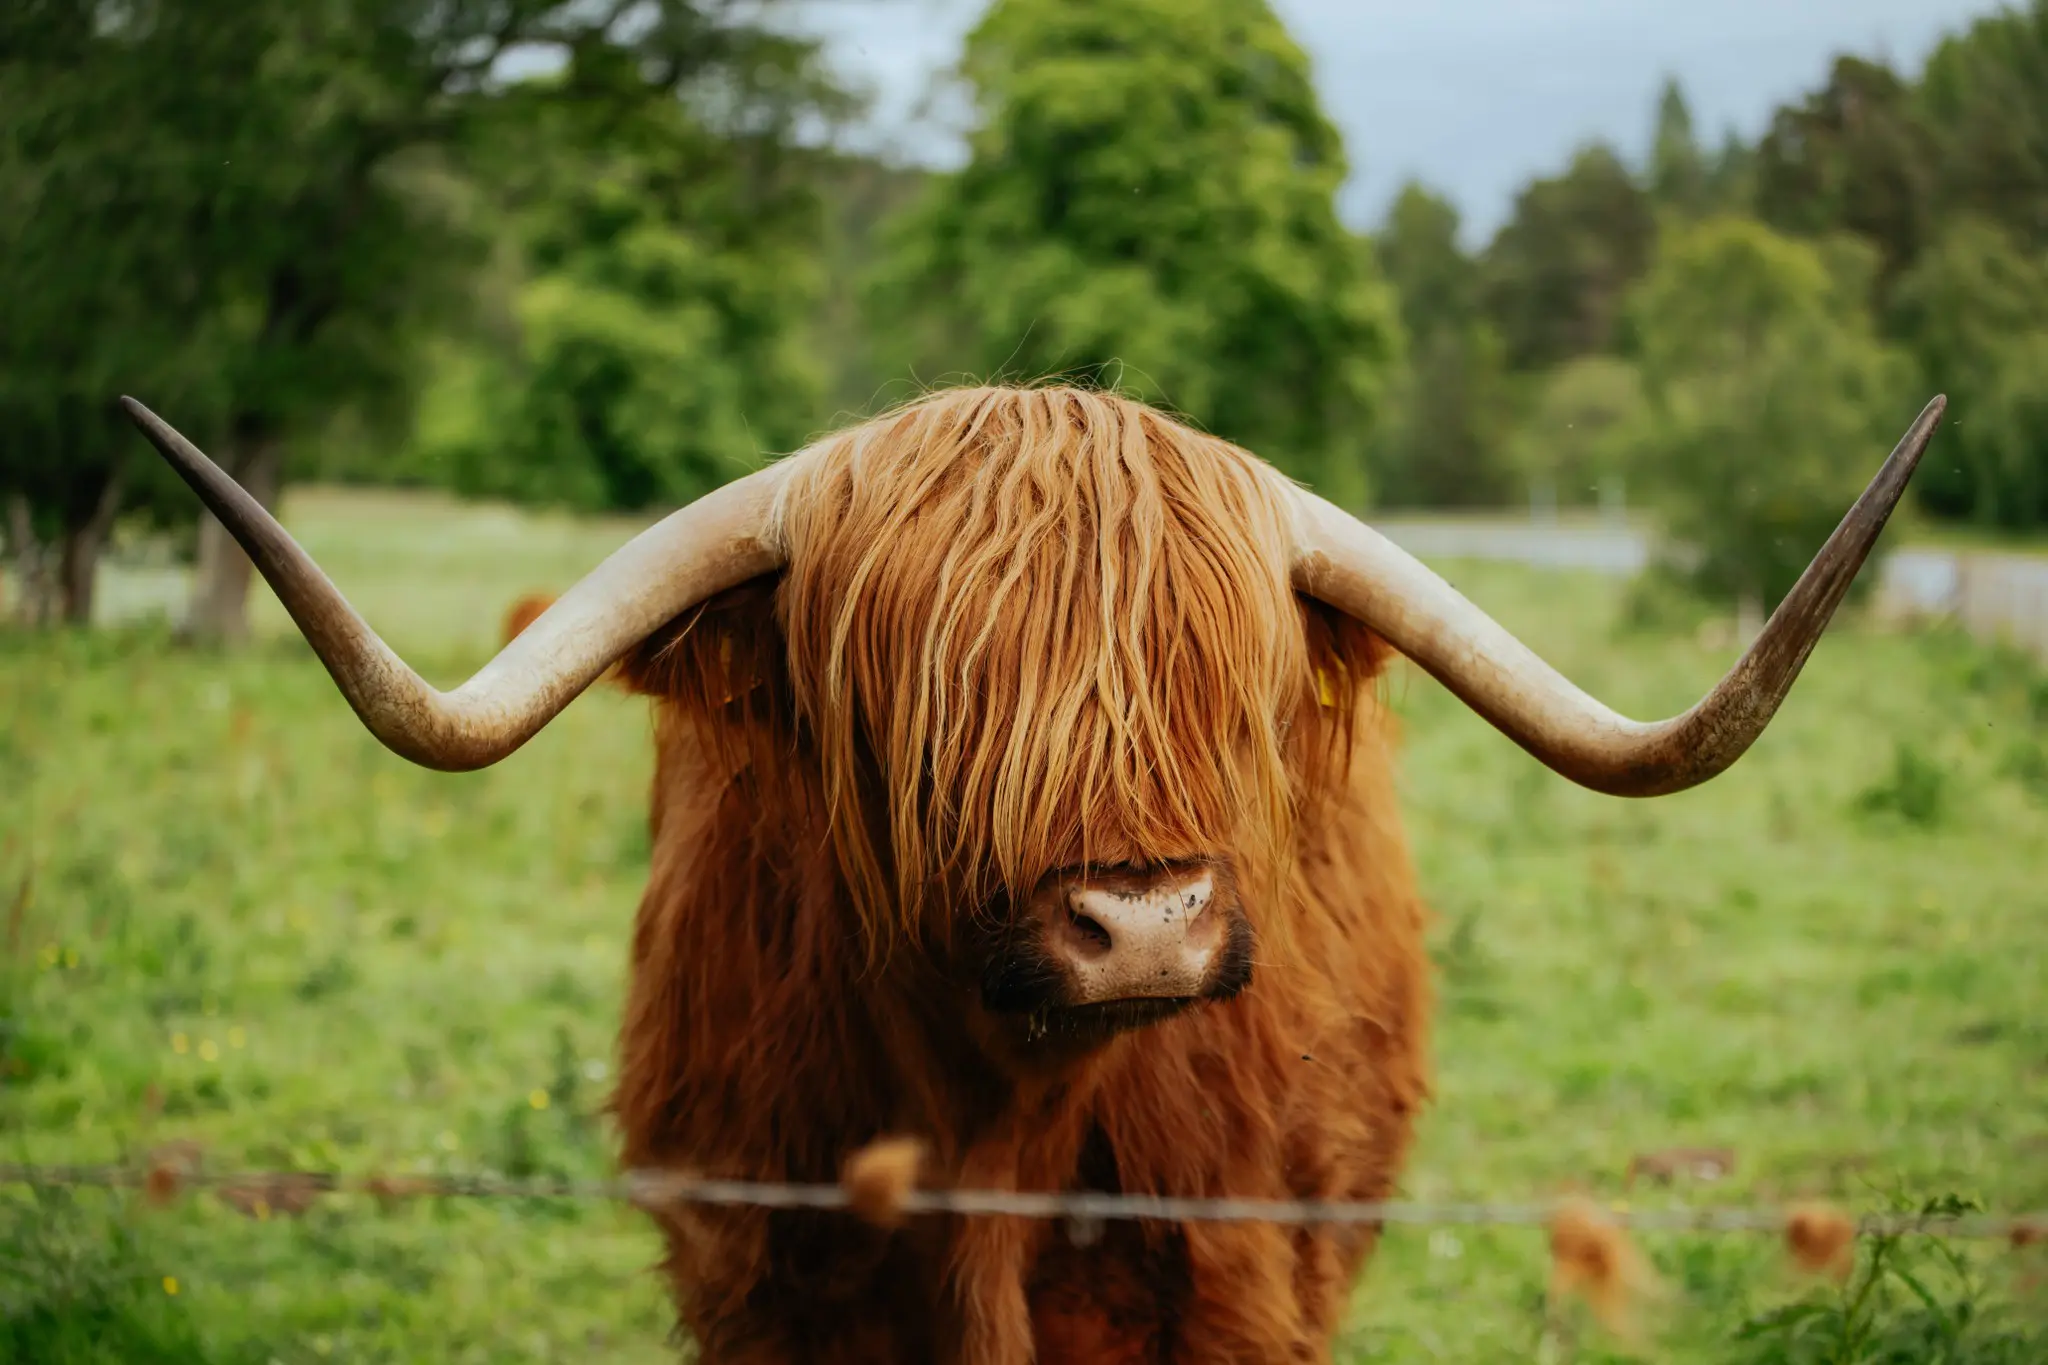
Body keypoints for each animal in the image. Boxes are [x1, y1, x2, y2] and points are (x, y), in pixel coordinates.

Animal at [119, 383, 1944, 1364]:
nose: (1142, 925)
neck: (990, 1140)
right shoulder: (762, 1281)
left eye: (1227, 692)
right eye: (931, 696)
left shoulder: (1230, 1288)